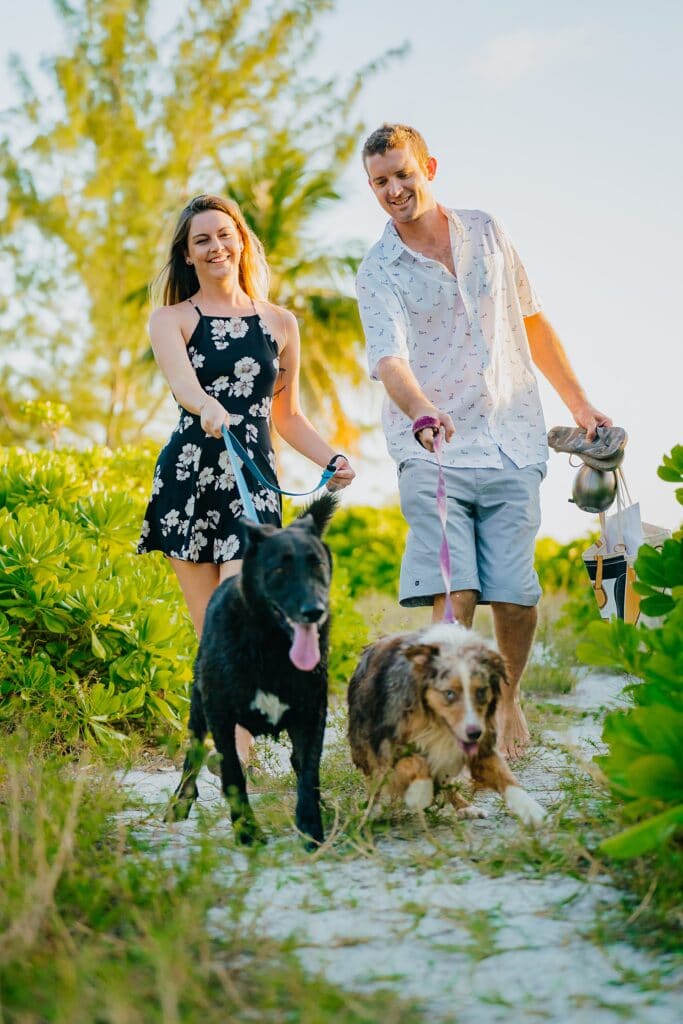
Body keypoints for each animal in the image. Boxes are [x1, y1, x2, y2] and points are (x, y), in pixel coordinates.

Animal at [165, 491, 335, 843]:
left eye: (318, 565)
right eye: (280, 569)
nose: (315, 611)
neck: (272, 643)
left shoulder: (313, 711)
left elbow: (309, 770)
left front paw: (311, 826)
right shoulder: (220, 714)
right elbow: (232, 772)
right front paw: (247, 831)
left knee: (298, 761)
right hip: (199, 706)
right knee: (193, 755)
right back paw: (180, 802)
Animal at [348, 618, 544, 827]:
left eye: (481, 691)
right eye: (449, 693)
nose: (474, 733)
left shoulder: (482, 744)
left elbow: (505, 776)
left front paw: (532, 810)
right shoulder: (388, 740)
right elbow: (414, 762)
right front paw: (419, 791)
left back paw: (465, 807)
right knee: (375, 780)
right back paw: (373, 810)